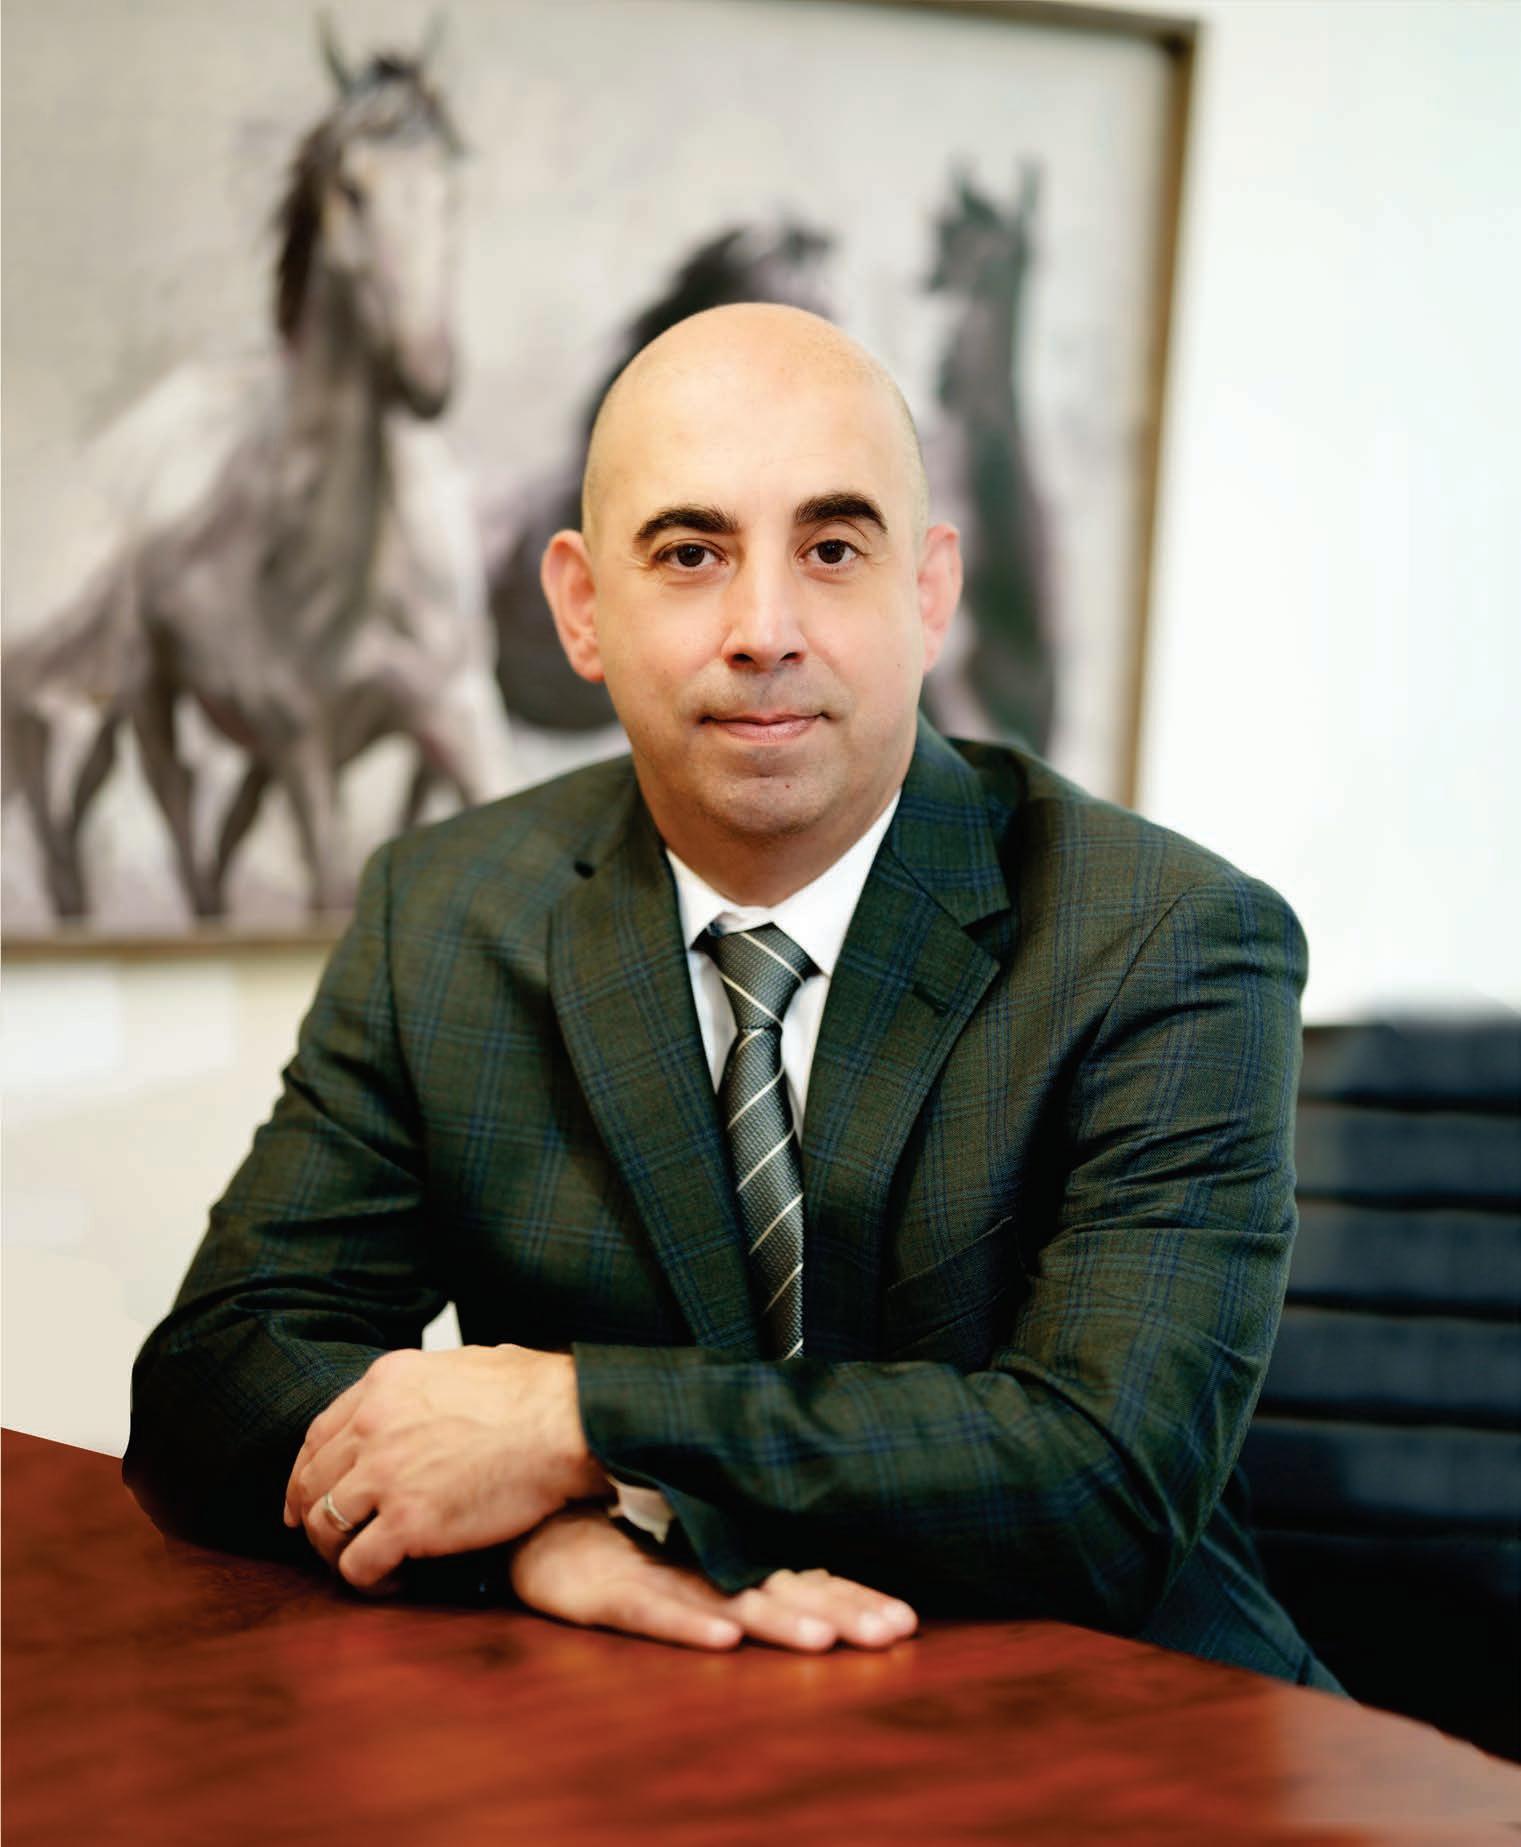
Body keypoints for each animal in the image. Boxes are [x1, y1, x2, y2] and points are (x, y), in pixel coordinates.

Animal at [2, 23, 508, 922]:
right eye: (352, 187)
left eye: (450, 189)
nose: (426, 376)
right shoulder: (301, 746)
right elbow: (327, 895)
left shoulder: (460, 712)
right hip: (153, 697)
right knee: (175, 817)